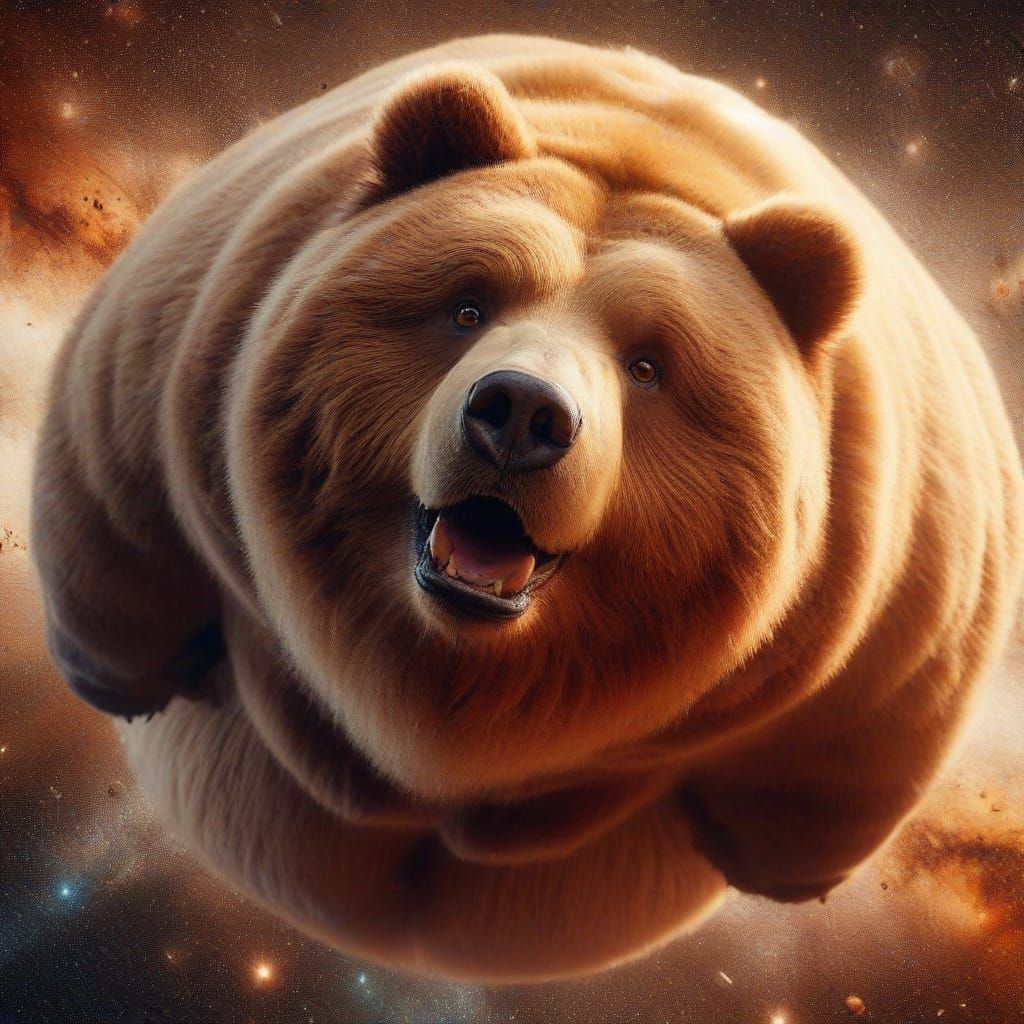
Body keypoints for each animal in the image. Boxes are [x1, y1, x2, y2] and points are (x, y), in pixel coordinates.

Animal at [29, 33, 1024, 981]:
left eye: (649, 364)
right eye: (469, 303)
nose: (520, 413)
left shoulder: (878, 607)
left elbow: (844, 751)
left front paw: (779, 860)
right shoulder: (184, 358)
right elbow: (120, 534)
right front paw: (127, 678)